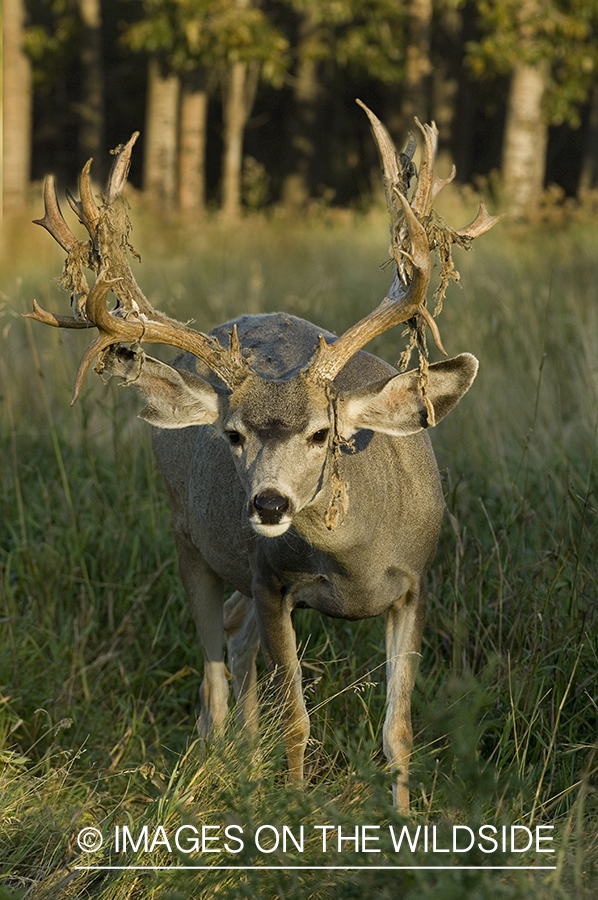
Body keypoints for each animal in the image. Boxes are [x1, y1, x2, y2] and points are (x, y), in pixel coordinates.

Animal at [26, 101, 500, 811]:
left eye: (323, 434)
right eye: (233, 435)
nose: (270, 504)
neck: (352, 565)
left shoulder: (415, 585)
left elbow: (398, 731)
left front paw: (401, 819)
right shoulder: (273, 581)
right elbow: (297, 721)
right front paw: (296, 809)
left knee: (235, 639)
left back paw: (243, 767)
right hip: (190, 538)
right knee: (216, 669)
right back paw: (219, 768)